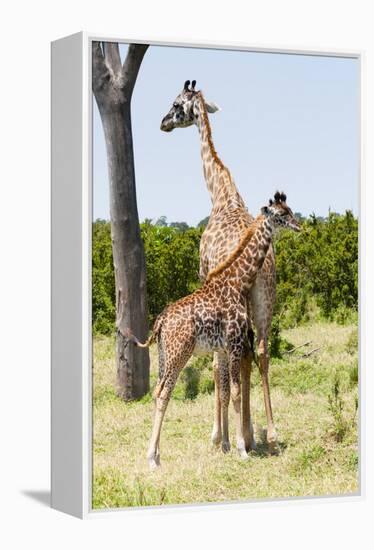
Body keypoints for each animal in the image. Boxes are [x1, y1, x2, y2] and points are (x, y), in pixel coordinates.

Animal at [124, 194, 300, 470]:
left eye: (290, 210)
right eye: (281, 215)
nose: (298, 225)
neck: (238, 281)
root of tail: (160, 322)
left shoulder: (225, 348)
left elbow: (228, 391)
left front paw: (230, 445)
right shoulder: (236, 342)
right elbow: (237, 392)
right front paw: (242, 449)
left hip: (163, 356)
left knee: (156, 391)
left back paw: (157, 454)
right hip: (179, 354)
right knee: (164, 393)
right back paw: (152, 458)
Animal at [159, 80, 280, 454]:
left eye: (175, 104)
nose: (163, 123)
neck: (222, 194)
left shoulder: (204, 279)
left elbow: (217, 366)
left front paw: (220, 436)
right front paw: (242, 433)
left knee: (237, 361)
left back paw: (242, 436)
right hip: (265, 300)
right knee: (261, 352)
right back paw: (269, 434)